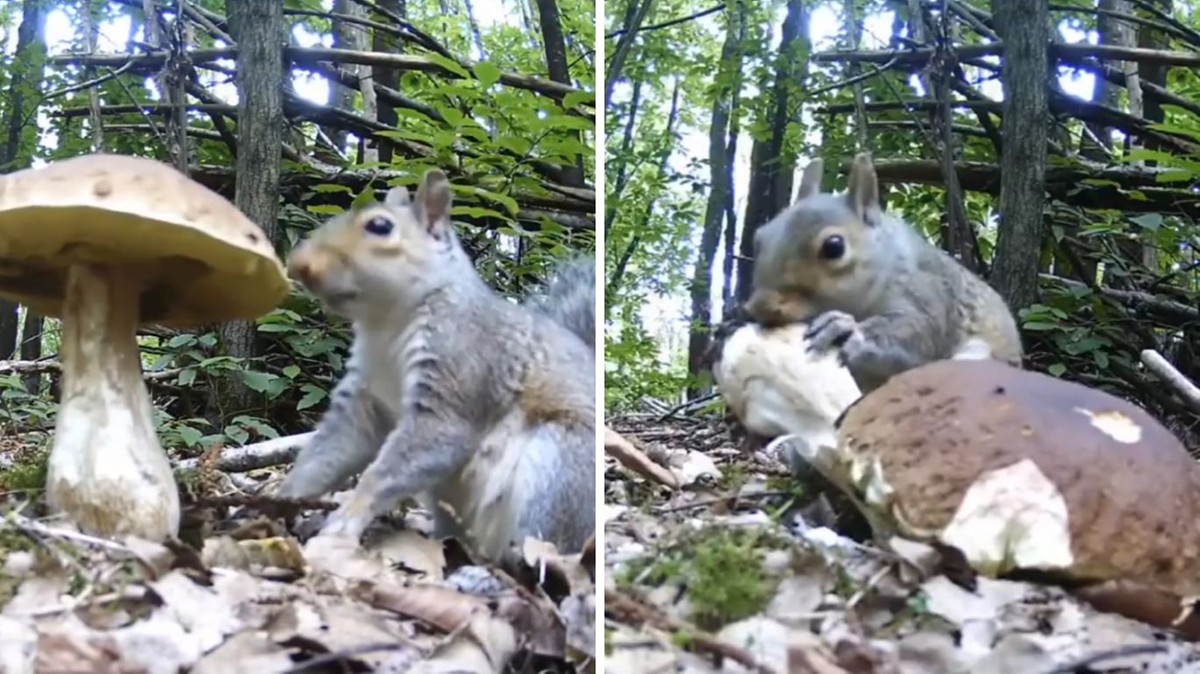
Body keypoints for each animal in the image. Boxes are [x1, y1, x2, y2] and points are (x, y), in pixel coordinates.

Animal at [282, 169, 600, 561]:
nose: (298, 264)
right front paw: (277, 501)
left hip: (556, 472)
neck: (387, 322)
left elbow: (407, 458)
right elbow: (327, 453)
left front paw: (344, 521)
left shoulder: (459, 367)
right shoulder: (363, 399)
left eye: (380, 226)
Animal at [744, 151, 1017, 393]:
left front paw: (845, 330)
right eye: (759, 237)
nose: (761, 306)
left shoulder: (926, 293)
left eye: (834, 247)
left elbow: (921, 333)